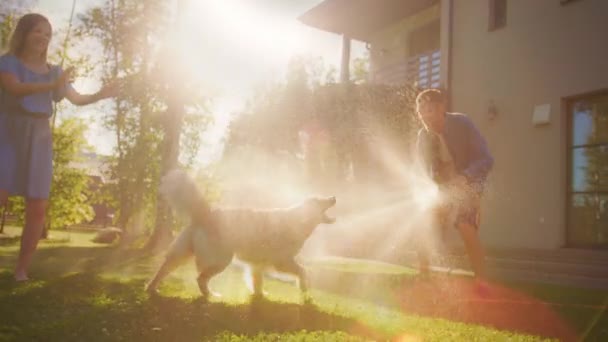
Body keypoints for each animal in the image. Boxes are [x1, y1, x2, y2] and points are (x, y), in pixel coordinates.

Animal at [146, 170, 338, 300]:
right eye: (321, 200)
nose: (334, 197)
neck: (299, 219)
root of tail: (206, 213)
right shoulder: (282, 261)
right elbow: (303, 271)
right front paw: (305, 290)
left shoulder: (258, 264)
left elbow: (257, 281)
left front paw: (260, 296)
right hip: (221, 260)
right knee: (200, 279)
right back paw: (211, 295)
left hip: (182, 254)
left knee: (164, 269)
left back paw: (151, 288)